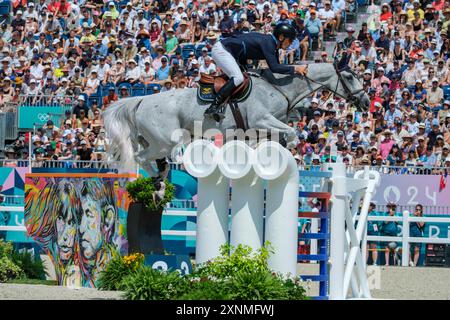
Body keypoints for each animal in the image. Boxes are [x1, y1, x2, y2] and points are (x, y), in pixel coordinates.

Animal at [103, 63, 370, 176]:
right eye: (349, 76)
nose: (366, 102)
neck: (280, 87)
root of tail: (141, 100)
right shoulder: (262, 120)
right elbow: (291, 133)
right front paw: (291, 146)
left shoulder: (263, 127)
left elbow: (282, 132)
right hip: (165, 141)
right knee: (140, 157)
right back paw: (155, 184)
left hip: (154, 140)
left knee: (144, 155)